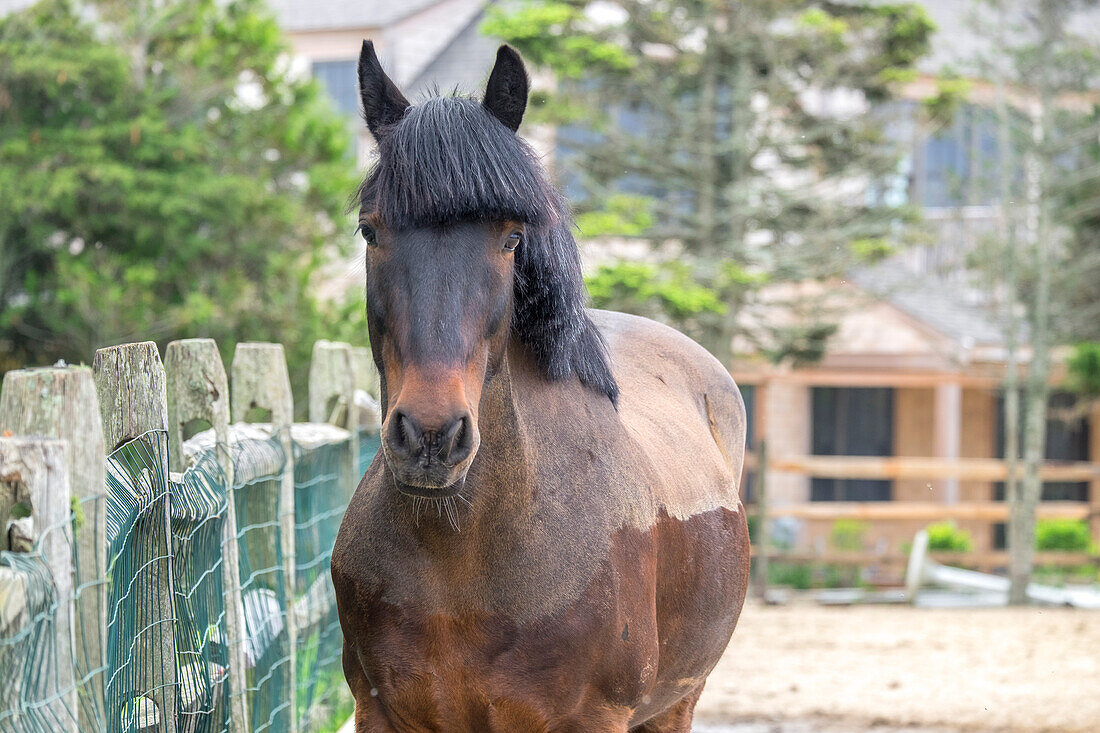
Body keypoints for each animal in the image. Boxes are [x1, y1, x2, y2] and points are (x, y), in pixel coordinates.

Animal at [330, 41, 752, 730]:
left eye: (512, 237)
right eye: (371, 229)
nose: (430, 436)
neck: (460, 560)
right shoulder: (381, 713)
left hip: (678, 702)